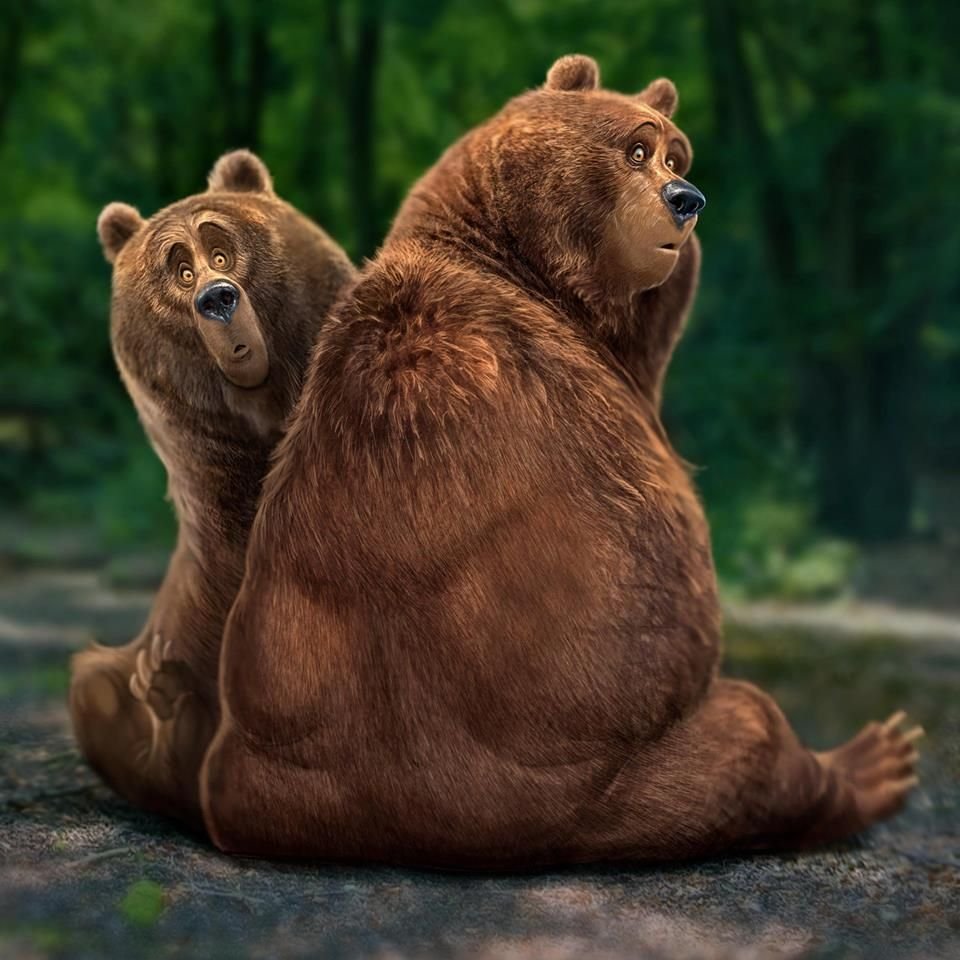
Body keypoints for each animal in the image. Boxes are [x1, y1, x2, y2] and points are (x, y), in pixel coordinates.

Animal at [196, 56, 921, 866]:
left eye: (677, 154)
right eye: (638, 148)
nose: (687, 199)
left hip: (269, 776)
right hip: (591, 793)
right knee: (749, 734)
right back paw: (874, 762)